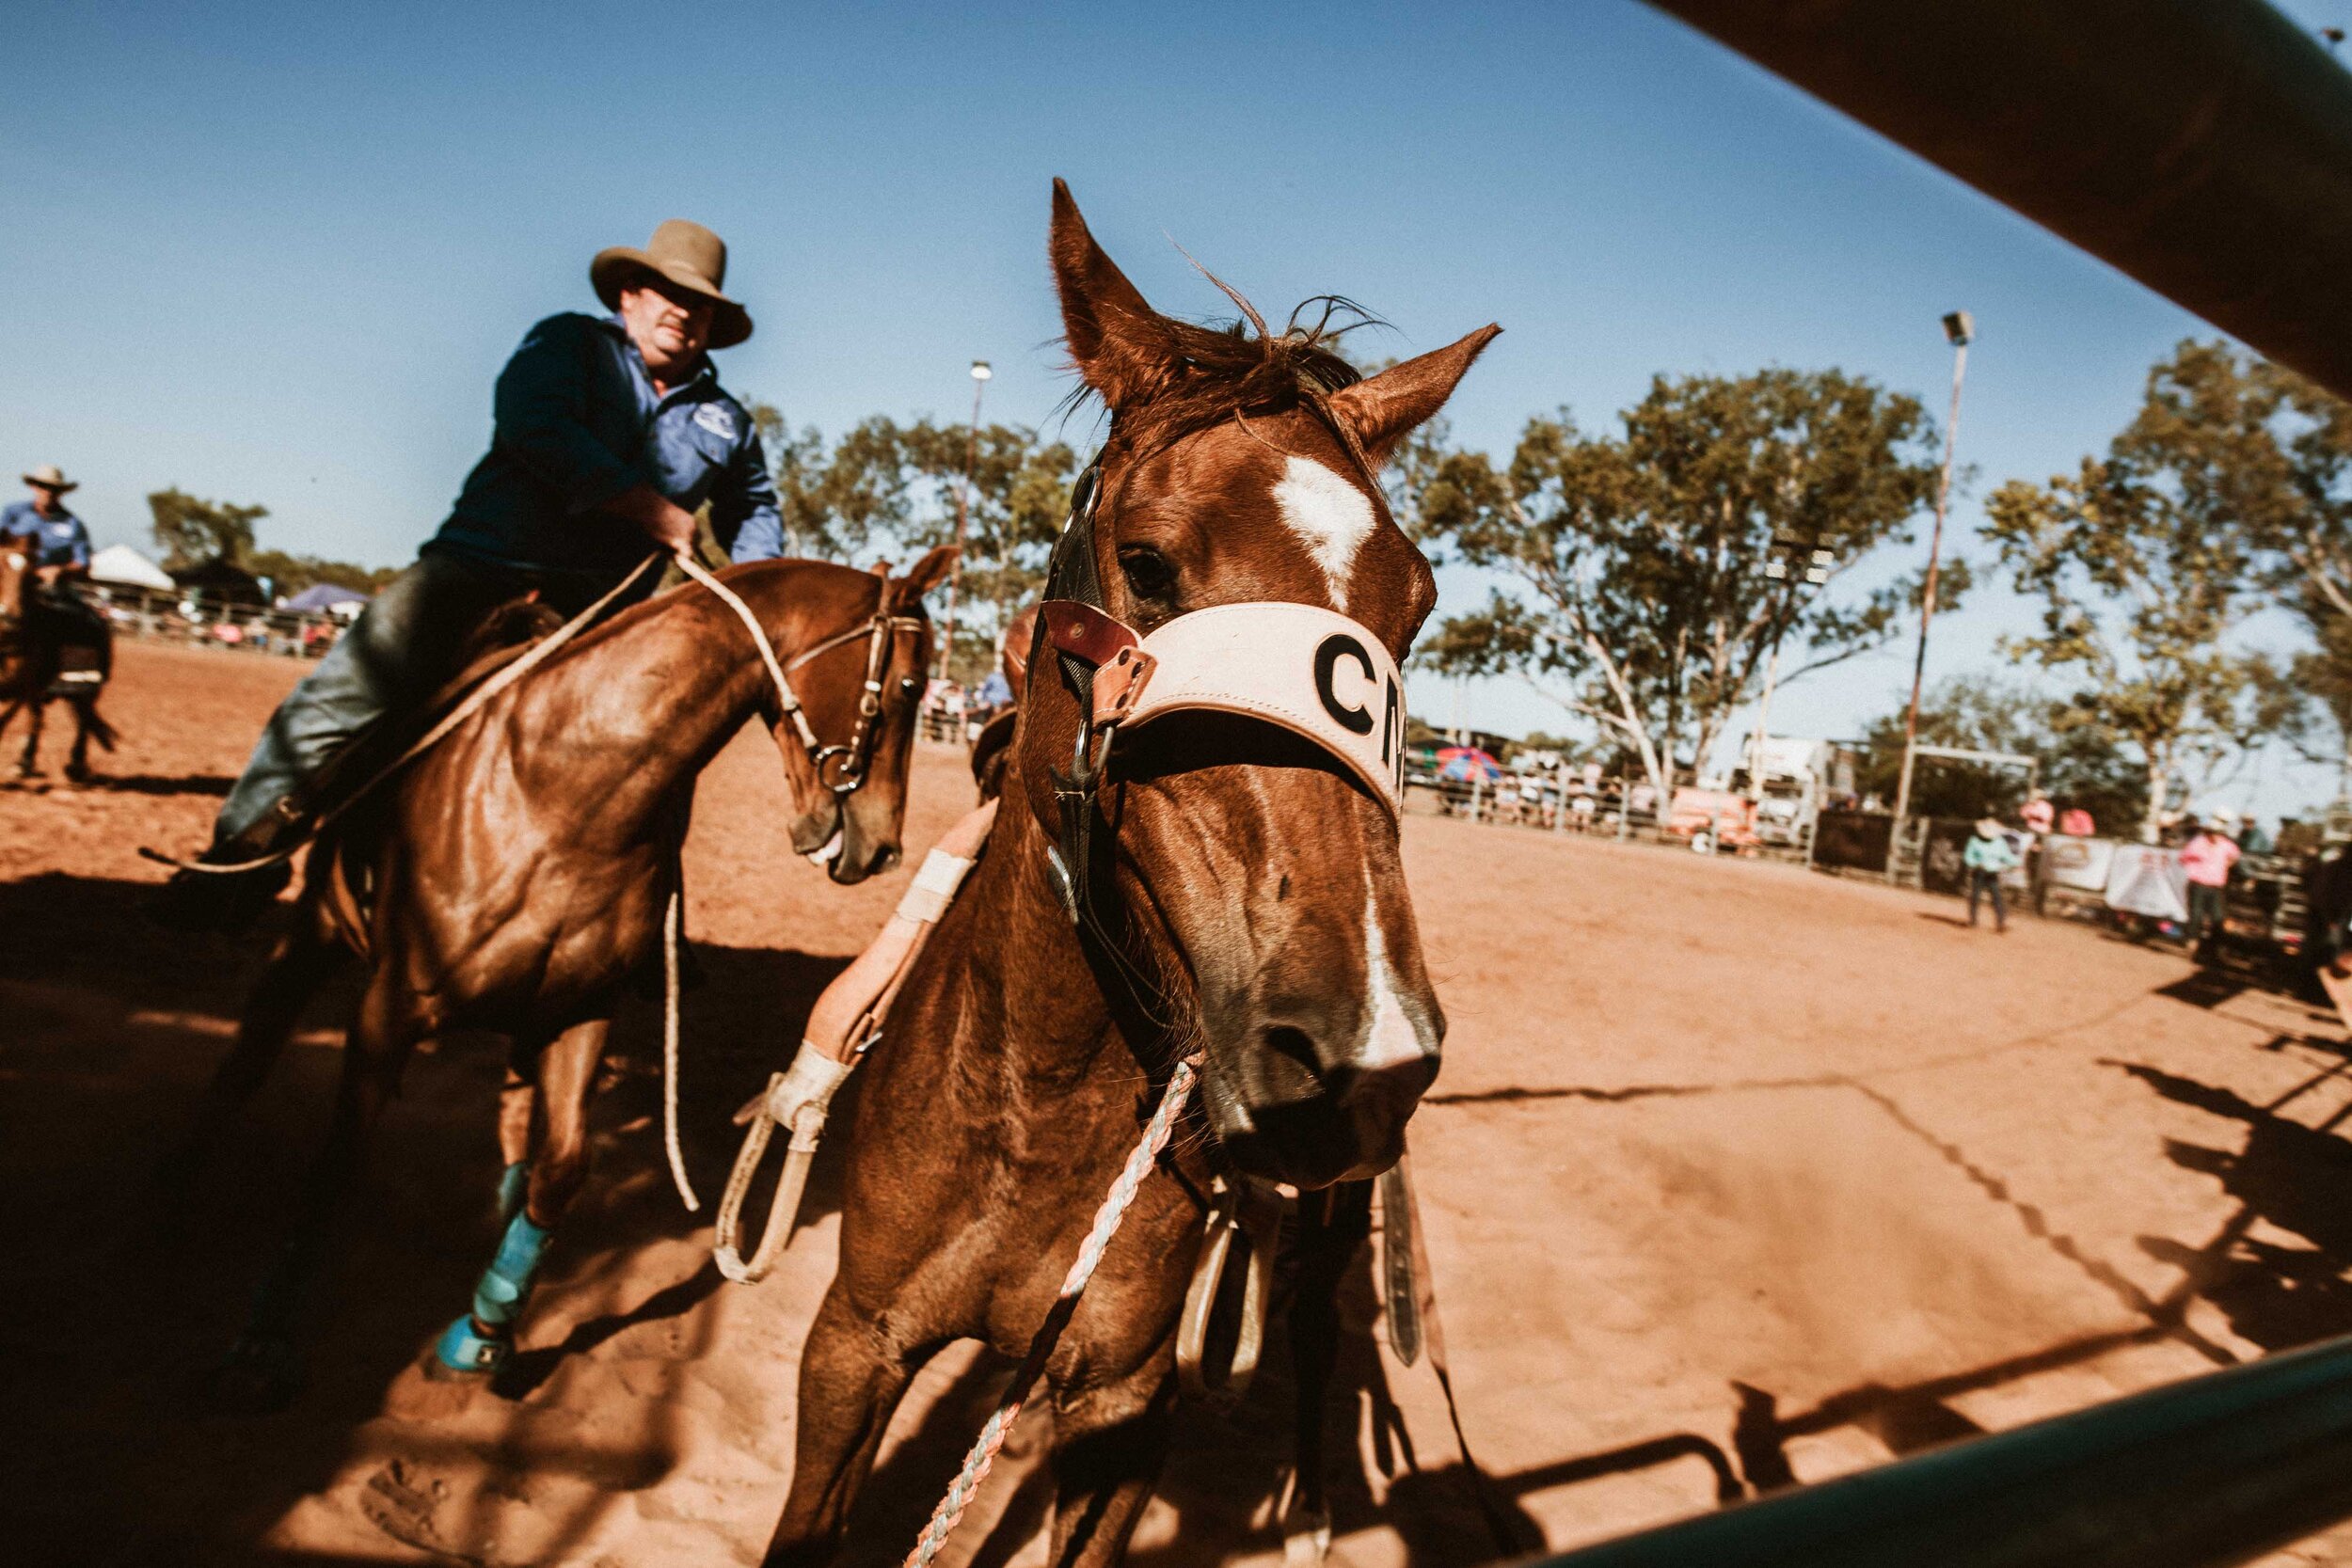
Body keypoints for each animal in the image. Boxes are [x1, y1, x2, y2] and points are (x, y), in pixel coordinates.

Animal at [0, 545, 116, 784]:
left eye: (27, 579)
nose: (10, 619)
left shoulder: (21, 689)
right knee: (41, 718)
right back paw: (25, 763)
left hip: (88, 690)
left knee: (82, 721)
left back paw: (76, 766)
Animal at [163, 552, 955, 1410]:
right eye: (911, 685)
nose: (882, 847)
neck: (557, 792)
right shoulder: (389, 1008)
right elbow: (336, 1164)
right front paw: (263, 1343)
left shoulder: (582, 1010)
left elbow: (562, 1166)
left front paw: (485, 1329)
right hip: (314, 930)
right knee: (248, 1056)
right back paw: (177, 1181)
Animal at [762, 184, 1496, 1568]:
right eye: (1148, 563)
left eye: (1415, 605)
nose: (1364, 1046)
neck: (1034, 1106)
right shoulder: (853, 1344)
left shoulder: (1123, 1399)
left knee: (1311, 1333)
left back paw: (1311, 1509)